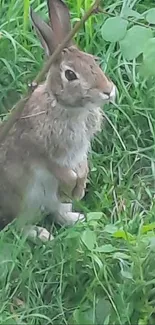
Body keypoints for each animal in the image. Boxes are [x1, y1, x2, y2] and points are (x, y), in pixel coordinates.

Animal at [0, 0, 115, 240]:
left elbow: (82, 167)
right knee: (18, 226)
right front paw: (73, 187)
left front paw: (79, 189)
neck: (70, 109)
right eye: (70, 75)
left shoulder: (81, 151)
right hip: (23, 199)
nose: (109, 91)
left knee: (56, 212)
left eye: (93, 61)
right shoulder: (40, 151)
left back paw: (76, 218)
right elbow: (60, 170)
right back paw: (42, 235)